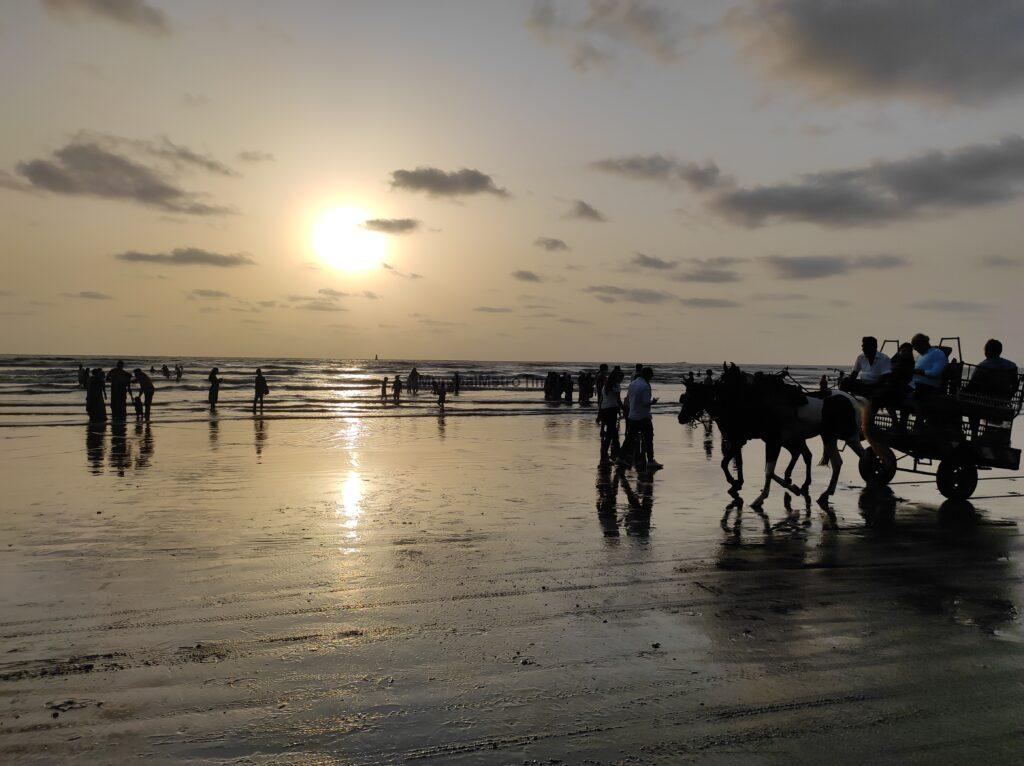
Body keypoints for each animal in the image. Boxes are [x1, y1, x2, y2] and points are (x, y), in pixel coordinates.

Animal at [679, 366, 864, 507]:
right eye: (684, 397)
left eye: (691, 397)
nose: (681, 418)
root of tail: (852, 399)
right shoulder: (746, 440)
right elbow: (738, 463)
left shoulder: (766, 441)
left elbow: (767, 470)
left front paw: (759, 497)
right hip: (828, 437)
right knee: (836, 461)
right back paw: (823, 493)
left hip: (847, 436)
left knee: (858, 457)